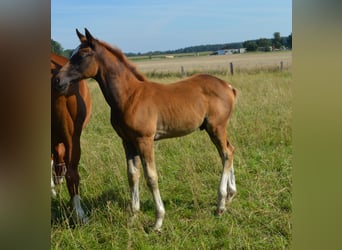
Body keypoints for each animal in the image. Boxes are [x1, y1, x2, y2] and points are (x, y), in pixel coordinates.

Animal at [54, 29, 238, 230]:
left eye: (82, 55)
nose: (57, 80)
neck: (129, 96)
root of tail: (228, 86)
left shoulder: (145, 140)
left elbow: (151, 176)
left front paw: (158, 221)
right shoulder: (127, 142)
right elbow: (133, 175)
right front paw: (132, 217)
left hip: (216, 127)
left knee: (226, 153)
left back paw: (220, 205)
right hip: (215, 128)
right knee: (228, 151)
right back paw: (230, 196)